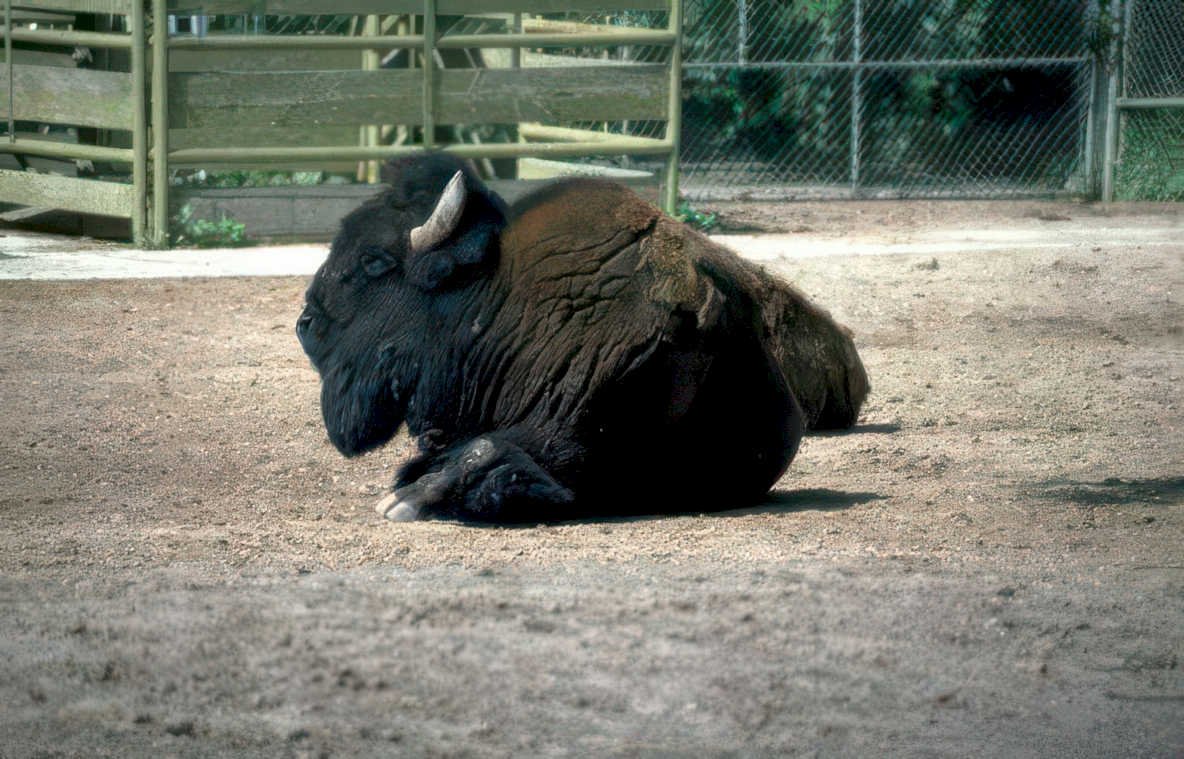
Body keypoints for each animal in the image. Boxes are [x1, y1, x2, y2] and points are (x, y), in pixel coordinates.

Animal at [297, 153, 868, 522]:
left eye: (374, 261)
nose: (306, 325)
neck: (496, 303)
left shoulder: (570, 444)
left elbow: (487, 454)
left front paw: (403, 501)